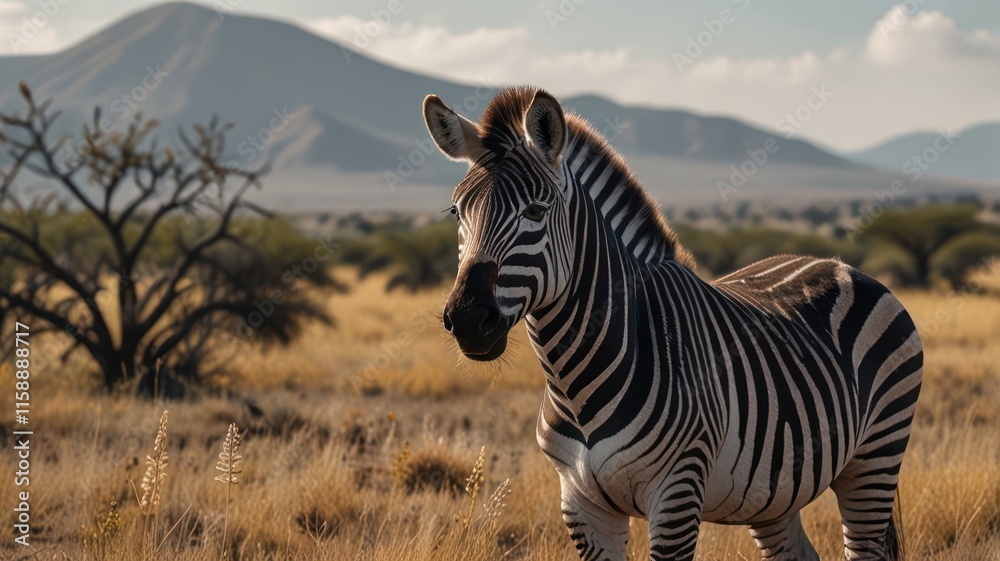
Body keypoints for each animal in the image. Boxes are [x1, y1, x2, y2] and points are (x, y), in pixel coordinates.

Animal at [422, 86, 923, 561]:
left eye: (535, 212)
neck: (575, 383)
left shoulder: (676, 493)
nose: (467, 318)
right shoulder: (582, 505)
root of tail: (838, 264)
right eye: (457, 212)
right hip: (775, 491)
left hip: (875, 457)